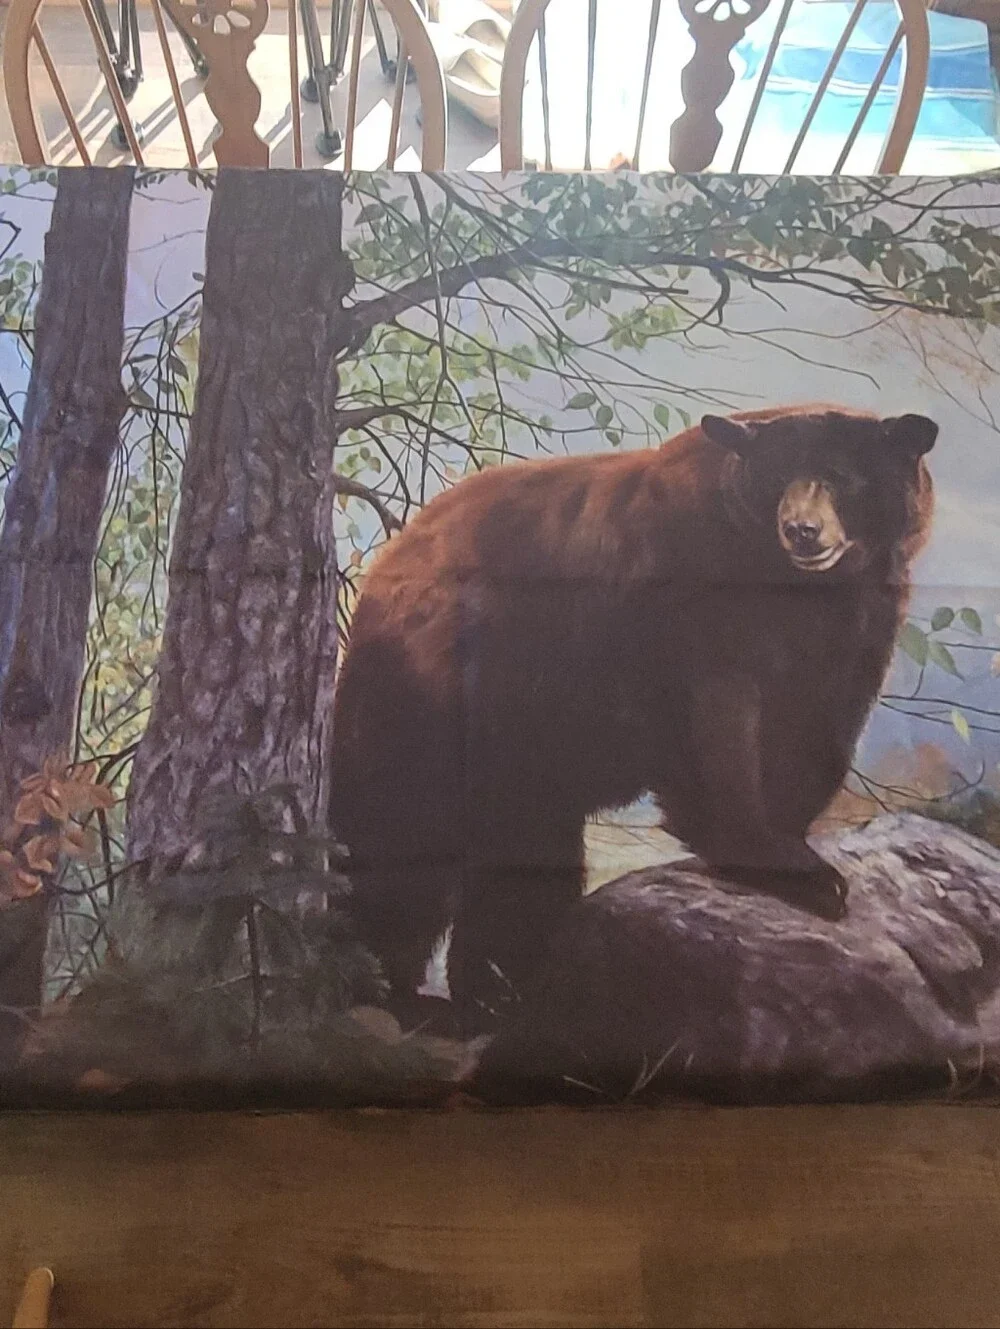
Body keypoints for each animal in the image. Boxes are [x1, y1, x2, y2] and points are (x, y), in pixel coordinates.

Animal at [329, 406, 938, 1031]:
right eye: (777, 478)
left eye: (840, 477)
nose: (801, 531)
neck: (796, 587)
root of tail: (388, 563)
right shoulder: (687, 606)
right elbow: (715, 728)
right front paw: (783, 863)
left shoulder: (859, 620)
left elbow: (819, 728)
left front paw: (794, 838)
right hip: (432, 695)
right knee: (399, 836)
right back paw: (391, 987)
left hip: (523, 746)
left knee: (525, 855)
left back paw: (502, 993)